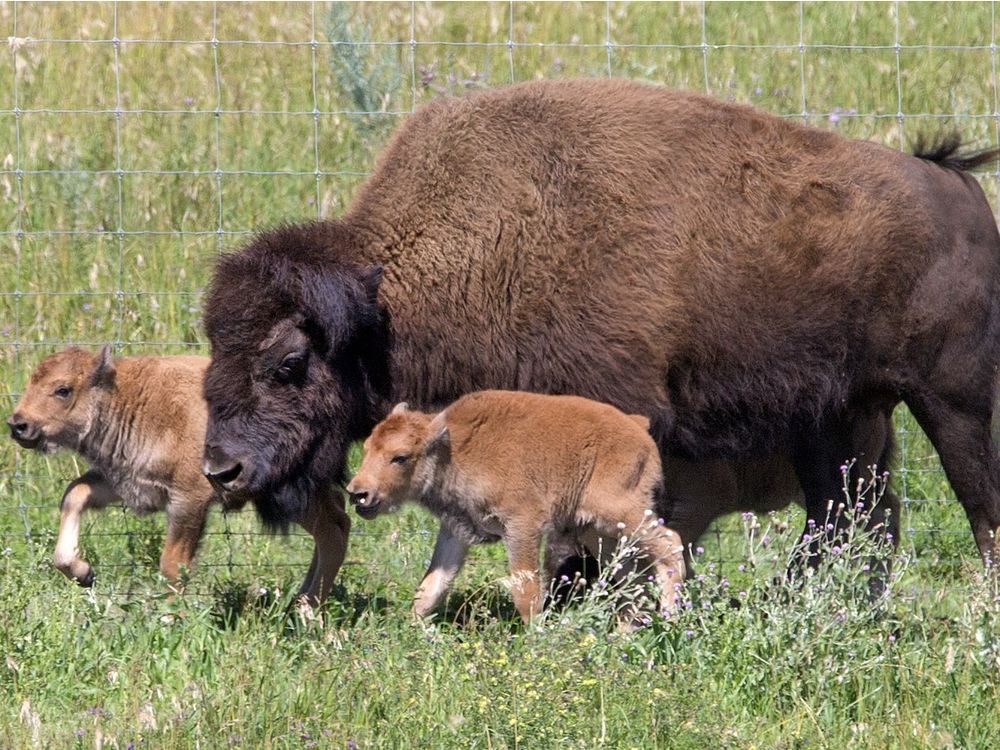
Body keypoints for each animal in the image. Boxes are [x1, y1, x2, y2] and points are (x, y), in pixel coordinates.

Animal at [6, 348, 352, 604]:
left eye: (62, 389)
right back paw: (301, 602)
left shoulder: (188, 500)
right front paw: (83, 573)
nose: (18, 424)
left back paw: (307, 610)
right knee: (337, 523)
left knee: (332, 532)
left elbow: (173, 564)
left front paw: (169, 619)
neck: (126, 396)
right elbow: (74, 495)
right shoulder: (125, 482)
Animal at [201, 78, 1000, 588]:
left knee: (976, 505)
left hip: (951, 402)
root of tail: (955, 185)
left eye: (290, 360)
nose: (220, 470)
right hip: (835, 417)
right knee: (849, 520)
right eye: (214, 349)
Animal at [346, 390, 688, 624]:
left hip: (622, 515)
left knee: (669, 544)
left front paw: (536, 636)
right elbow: (432, 585)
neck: (452, 449)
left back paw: (671, 617)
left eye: (400, 457)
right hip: (597, 531)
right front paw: (413, 626)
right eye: (367, 447)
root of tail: (638, 428)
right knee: (631, 574)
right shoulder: (456, 529)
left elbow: (525, 589)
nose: (358, 493)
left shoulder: (522, 525)